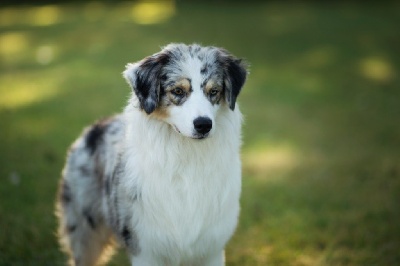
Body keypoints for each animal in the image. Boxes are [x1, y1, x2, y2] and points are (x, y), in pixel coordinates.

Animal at [56, 42, 247, 264]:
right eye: (178, 91)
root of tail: (96, 126)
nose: (204, 125)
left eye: (214, 91)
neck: (187, 160)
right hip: (85, 233)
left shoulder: (211, 248)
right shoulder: (146, 246)